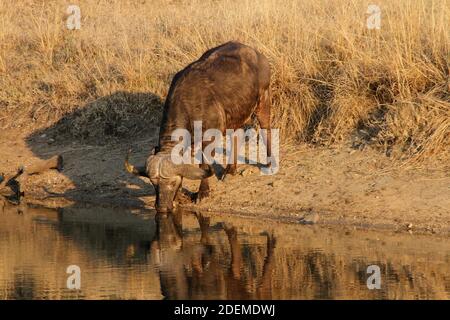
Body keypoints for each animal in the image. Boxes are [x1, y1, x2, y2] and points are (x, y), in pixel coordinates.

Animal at [125, 41, 270, 211]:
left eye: (173, 182)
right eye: (154, 183)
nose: (162, 207)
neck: (190, 103)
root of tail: (258, 55)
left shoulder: (210, 137)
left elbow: (204, 163)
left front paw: (202, 193)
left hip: (263, 100)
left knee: (266, 128)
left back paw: (269, 163)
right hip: (237, 114)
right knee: (237, 136)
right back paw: (230, 171)